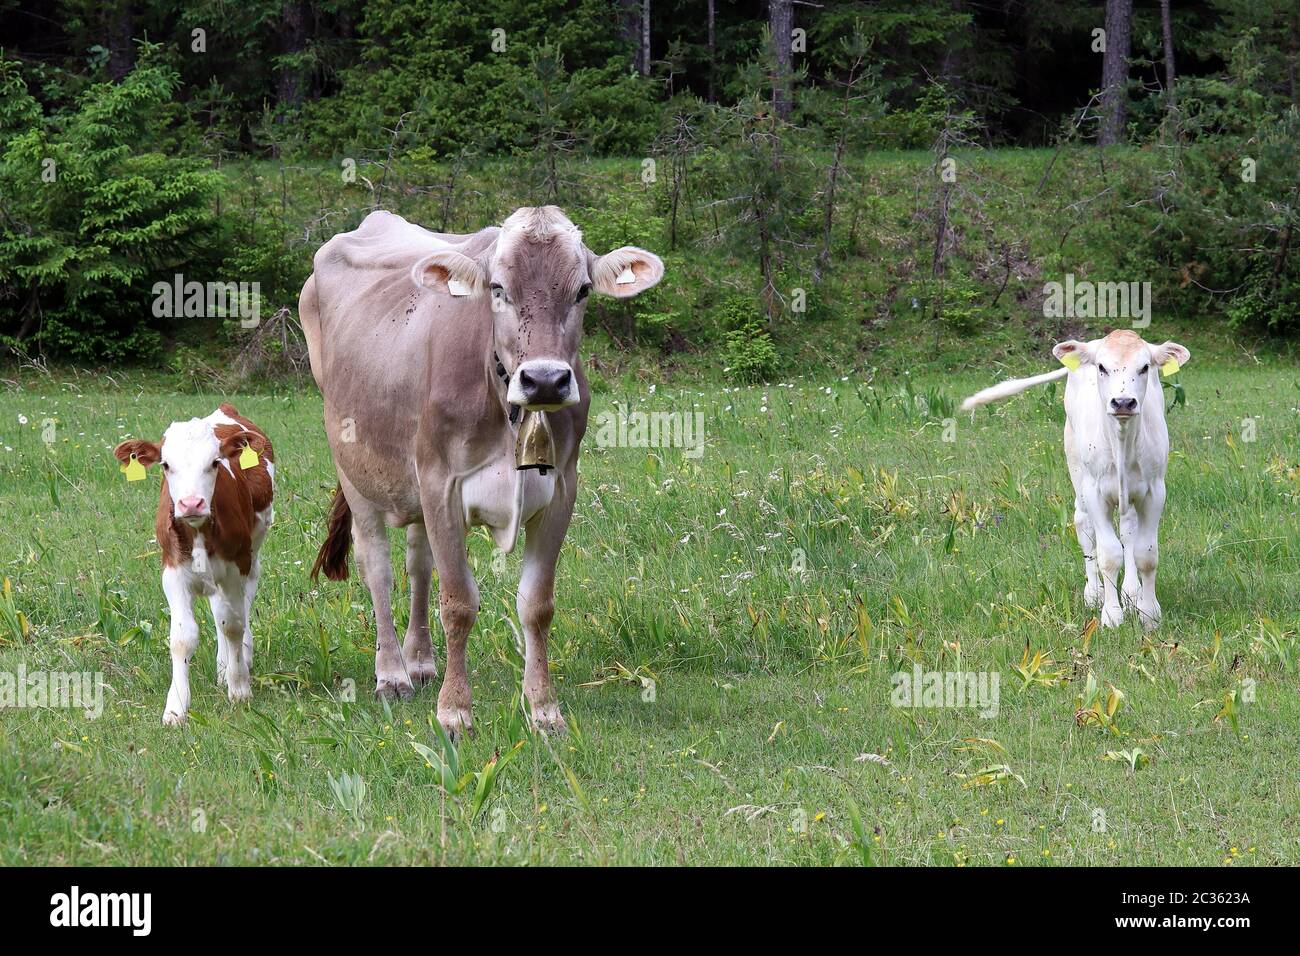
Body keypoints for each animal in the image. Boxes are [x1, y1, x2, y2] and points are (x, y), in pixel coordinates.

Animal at [113, 405, 275, 724]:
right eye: (165, 465)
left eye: (214, 462)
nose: (191, 503)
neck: (199, 531)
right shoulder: (173, 572)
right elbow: (182, 638)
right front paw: (176, 707)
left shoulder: (236, 566)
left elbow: (234, 625)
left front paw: (239, 689)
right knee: (218, 609)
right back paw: (223, 668)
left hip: (253, 553)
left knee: (240, 607)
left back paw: (241, 660)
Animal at [300, 207, 663, 738]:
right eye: (498, 288)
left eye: (581, 290)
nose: (546, 380)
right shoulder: (441, 484)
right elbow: (458, 603)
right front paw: (455, 712)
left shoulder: (561, 490)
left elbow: (537, 604)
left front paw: (543, 709)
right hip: (354, 468)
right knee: (378, 568)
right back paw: (392, 674)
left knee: (418, 564)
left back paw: (420, 662)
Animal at [960, 330, 1191, 630]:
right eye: (1102, 367)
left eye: (1145, 367)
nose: (1123, 402)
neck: (1122, 442)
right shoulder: (1095, 493)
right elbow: (1108, 554)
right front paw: (1111, 614)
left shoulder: (1154, 491)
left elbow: (1146, 555)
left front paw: (1148, 613)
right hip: (1077, 470)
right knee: (1084, 526)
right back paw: (1094, 593)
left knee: (1128, 529)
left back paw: (1130, 592)